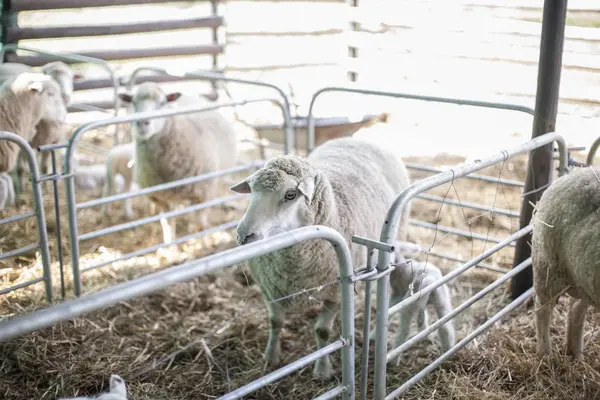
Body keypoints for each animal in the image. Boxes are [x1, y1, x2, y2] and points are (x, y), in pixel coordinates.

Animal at [116, 81, 238, 244]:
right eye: (133, 102)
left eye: (162, 103)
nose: (142, 123)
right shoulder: (159, 197)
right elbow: (167, 223)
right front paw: (170, 244)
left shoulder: (204, 193)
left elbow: (199, 221)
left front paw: (199, 241)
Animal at [230, 136, 412, 380]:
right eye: (252, 192)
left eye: (290, 195)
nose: (244, 235)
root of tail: (361, 139)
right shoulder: (270, 288)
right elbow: (275, 322)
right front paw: (271, 356)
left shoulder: (335, 293)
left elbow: (322, 331)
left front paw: (322, 370)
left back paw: (377, 332)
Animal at [532, 164, 600, 360]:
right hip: (547, 267)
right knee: (543, 309)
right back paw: (545, 354)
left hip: (583, 277)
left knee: (576, 310)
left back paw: (575, 354)